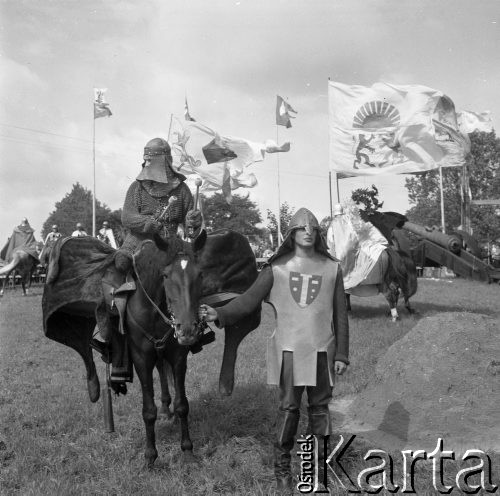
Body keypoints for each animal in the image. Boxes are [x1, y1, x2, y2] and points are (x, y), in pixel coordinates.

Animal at [42, 229, 260, 468]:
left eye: (200, 274)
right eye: (165, 275)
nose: (187, 330)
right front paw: (150, 457)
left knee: (163, 373)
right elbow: (148, 410)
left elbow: (182, 404)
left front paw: (187, 451)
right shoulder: (141, 359)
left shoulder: (178, 357)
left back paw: (166, 407)